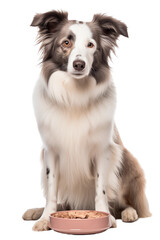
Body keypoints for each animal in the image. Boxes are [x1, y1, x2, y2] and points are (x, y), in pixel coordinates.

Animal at [22, 10, 151, 231]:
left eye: (91, 45)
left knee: (125, 203)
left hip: (126, 160)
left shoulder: (103, 150)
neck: (75, 95)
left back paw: (128, 213)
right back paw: (35, 211)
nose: (79, 64)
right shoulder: (51, 151)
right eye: (66, 43)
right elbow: (52, 192)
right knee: (62, 202)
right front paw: (45, 218)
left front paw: (106, 218)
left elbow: (101, 189)